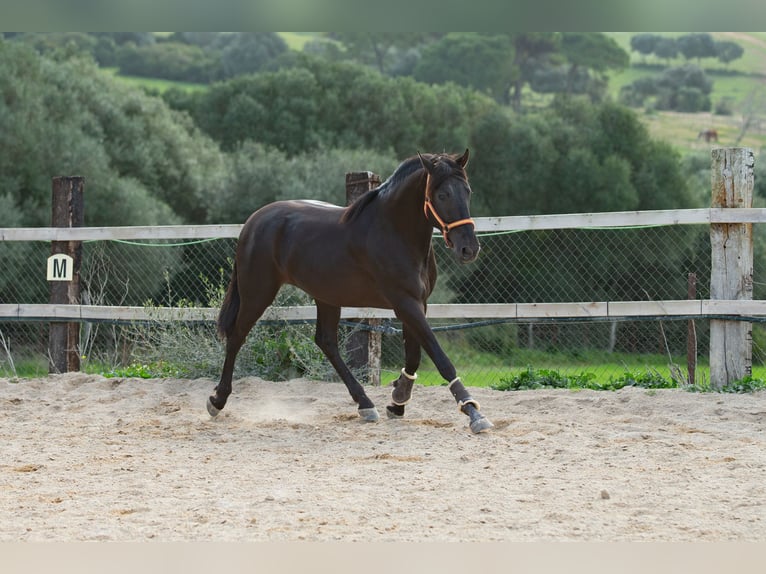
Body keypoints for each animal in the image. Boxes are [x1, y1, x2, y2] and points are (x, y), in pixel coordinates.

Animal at [207, 151, 496, 434]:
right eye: (442, 194)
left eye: (467, 191)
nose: (469, 249)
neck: (394, 231)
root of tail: (252, 222)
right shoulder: (404, 302)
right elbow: (440, 357)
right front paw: (473, 411)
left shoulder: (418, 303)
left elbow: (414, 356)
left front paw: (398, 401)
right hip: (258, 293)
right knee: (237, 336)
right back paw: (217, 401)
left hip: (326, 296)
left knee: (326, 341)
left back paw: (365, 404)